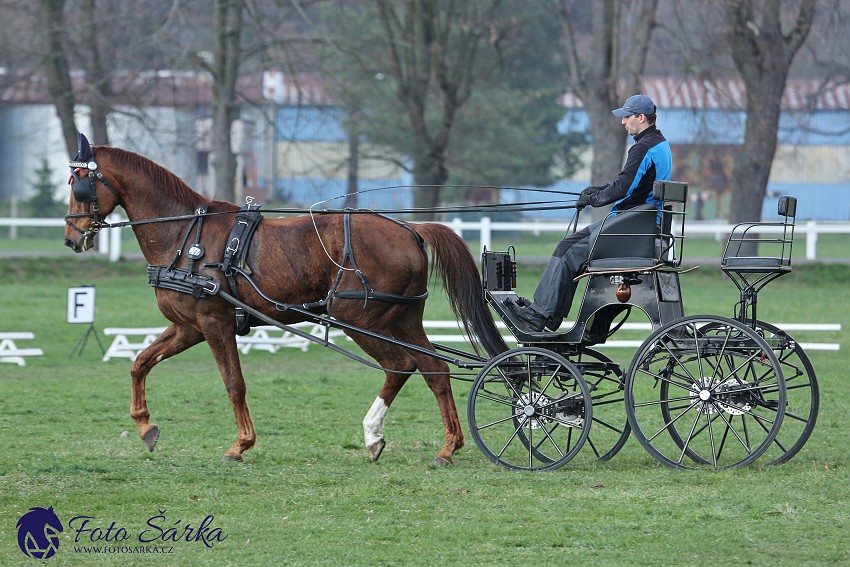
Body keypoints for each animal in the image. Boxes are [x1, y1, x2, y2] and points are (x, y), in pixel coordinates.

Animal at [66, 136, 506, 466]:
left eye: (80, 183)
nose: (72, 238)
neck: (185, 235)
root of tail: (410, 229)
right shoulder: (189, 326)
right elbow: (140, 363)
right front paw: (145, 427)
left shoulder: (214, 322)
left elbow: (234, 383)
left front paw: (240, 445)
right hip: (403, 319)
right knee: (434, 369)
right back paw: (447, 446)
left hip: (358, 318)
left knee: (400, 365)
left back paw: (373, 435)